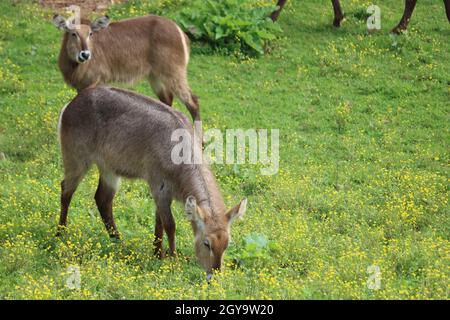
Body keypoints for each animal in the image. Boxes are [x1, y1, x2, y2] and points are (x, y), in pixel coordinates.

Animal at [52, 13, 200, 122]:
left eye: (90, 34)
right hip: (155, 76)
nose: (85, 54)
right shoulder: (80, 86)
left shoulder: (96, 81)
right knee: (167, 100)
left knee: (193, 102)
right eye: (73, 33)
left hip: (174, 72)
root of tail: (179, 30)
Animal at [56, 86, 248, 276]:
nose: (213, 275)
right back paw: (61, 234)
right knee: (66, 190)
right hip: (77, 160)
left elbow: (159, 222)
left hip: (109, 170)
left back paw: (118, 242)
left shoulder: (163, 193)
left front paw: (157, 254)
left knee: (102, 199)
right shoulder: (158, 187)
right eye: (207, 243)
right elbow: (170, 225)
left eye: (227, 244)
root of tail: (72, 104)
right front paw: (173, 258)